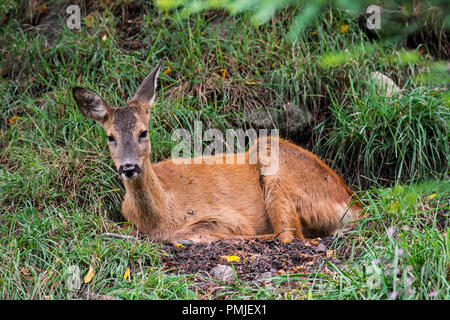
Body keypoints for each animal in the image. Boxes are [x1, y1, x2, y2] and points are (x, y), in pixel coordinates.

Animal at [73, 61, 362, 244]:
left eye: (143, 132)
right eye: (110, 137)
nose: (129, 167)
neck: (161, 215)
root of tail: (354, 203)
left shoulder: (227, 217)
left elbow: (182, 234)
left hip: (271, 153)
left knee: (289, 234)